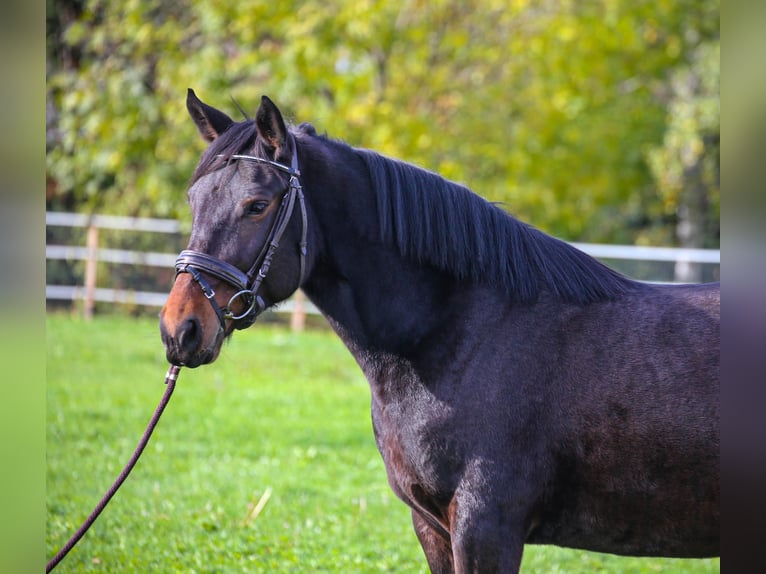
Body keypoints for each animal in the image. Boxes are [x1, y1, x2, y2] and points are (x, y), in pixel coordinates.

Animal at [160, 91, 720, 574]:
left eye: (257, 204)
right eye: (192, 200)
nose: (180, 329)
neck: (462, 338)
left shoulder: (486, 527)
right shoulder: (433, 526)